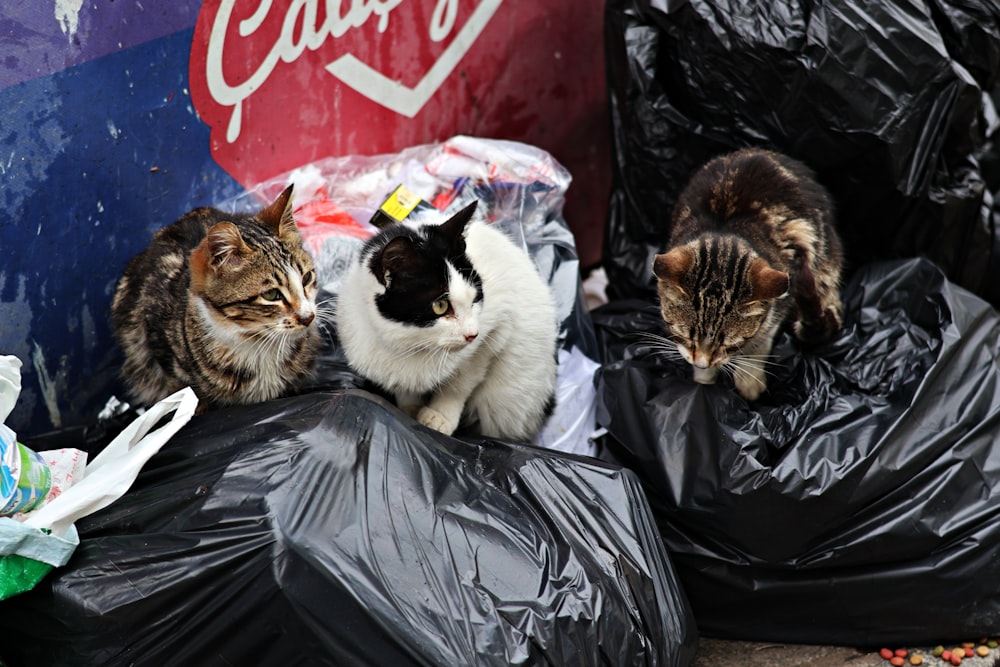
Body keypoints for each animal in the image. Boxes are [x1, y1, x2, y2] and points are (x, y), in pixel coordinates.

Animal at [334, 204, 556, 444]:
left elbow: (461, 382)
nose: (472, 334)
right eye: (440, 306)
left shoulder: (496, 329)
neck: (411, 344)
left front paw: (439, 416)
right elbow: (403, 387)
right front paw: (408, 411)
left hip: (507, 398)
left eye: (475, 296)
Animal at [648, 148, 844, 400]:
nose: (702, 362)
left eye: (728, 343)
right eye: (686, 334)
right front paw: (703, 380)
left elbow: (760, 341)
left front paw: (749, 379)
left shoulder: (780, 301)